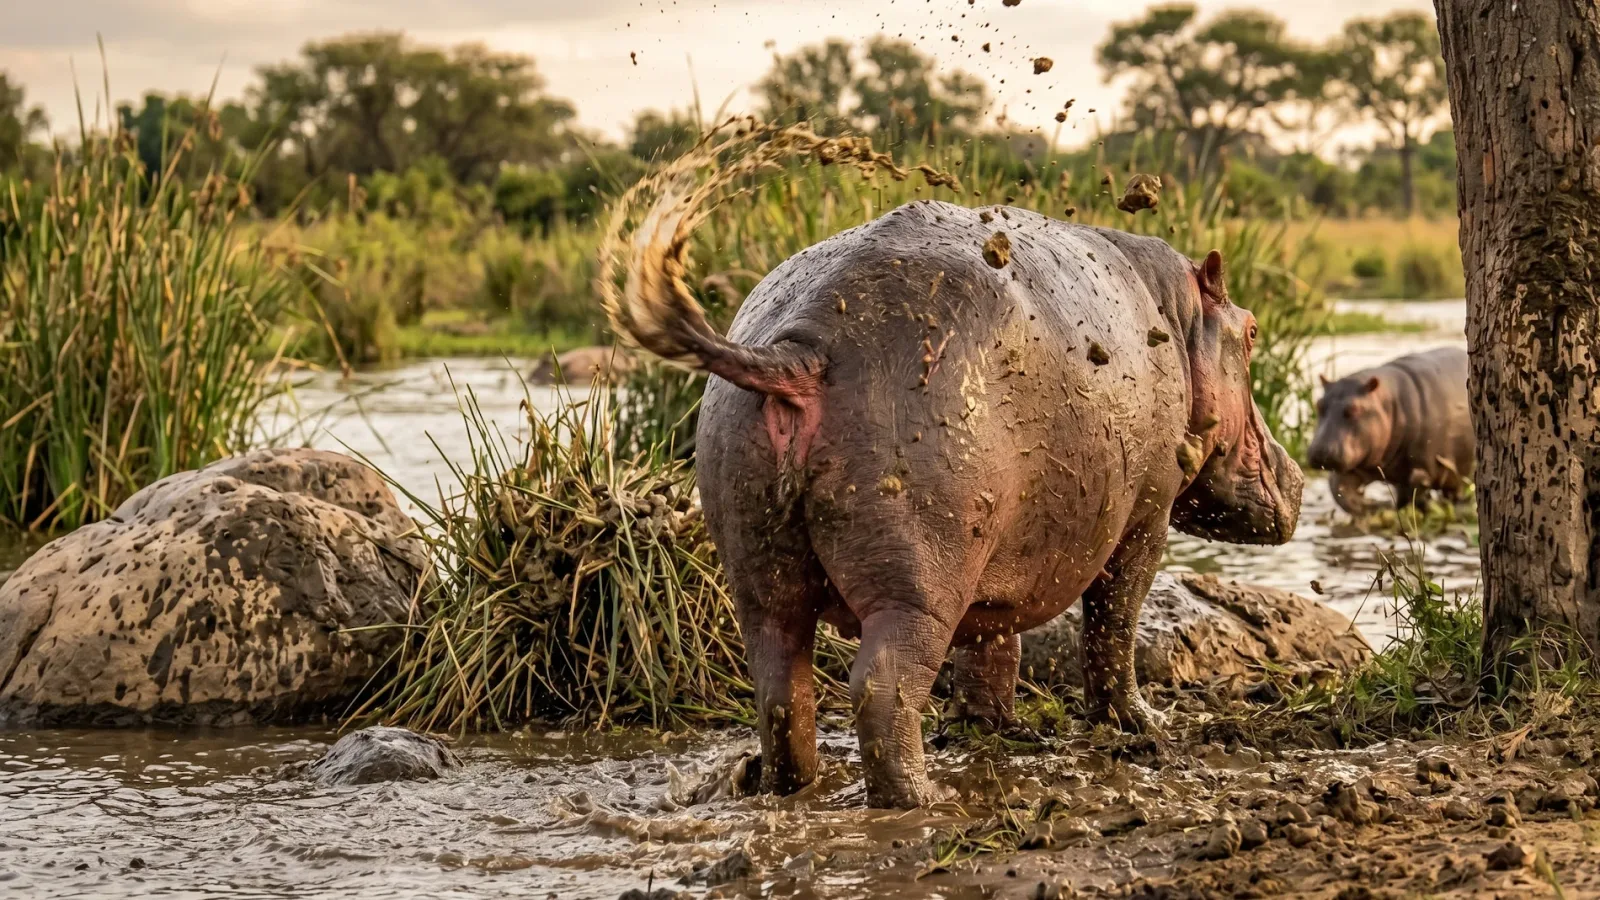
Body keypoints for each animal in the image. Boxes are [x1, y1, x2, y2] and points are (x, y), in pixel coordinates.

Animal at [607, 200, 1303, 808]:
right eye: (1252, 331)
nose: (1297, 475)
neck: (1180, 317)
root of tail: (797, 351)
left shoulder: (1003, 562)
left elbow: (993, 643)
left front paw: (992, 729)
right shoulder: (1144, 518)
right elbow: (1114, 622)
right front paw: (1144, 724)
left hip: (761, 571)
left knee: (781, 687)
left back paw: (791, 787)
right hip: (919, 579)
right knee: (883, 686)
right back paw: (922, 799)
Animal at [1307, 347, 1473, 514]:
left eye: (1354, 409)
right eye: (1318, 404)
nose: (1320, 451)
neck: (1389, 402)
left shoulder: (1423, 469)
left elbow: (1415, 494)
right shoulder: (1362, 464)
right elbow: (1339, 490)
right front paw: (1374, 506)